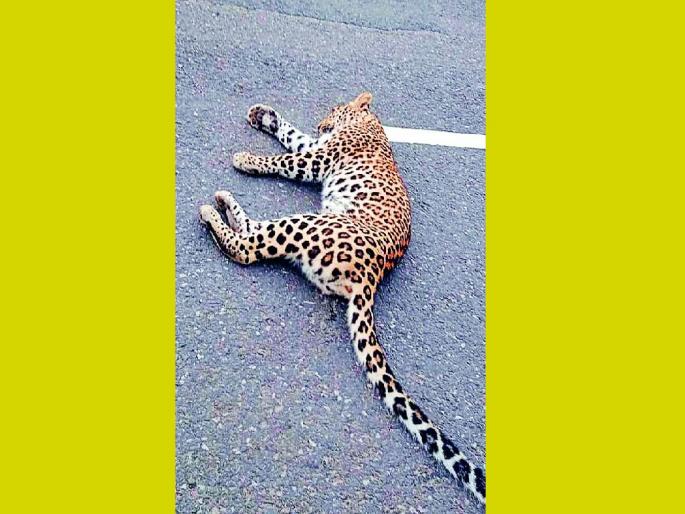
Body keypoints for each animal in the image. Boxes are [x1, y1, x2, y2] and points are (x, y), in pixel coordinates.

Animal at [199, 92, 485, 504]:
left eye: (332, 111)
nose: (321, 124)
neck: (369, 122)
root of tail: (372, 278)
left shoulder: (314, 159)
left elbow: (282, 160)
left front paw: (248, 158)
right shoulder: (313, 147)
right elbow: (290, 134)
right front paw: (263, 116)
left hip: (308, 223)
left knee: (249, 246)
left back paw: (214, 206)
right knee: (254, 233)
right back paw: (223, 203)